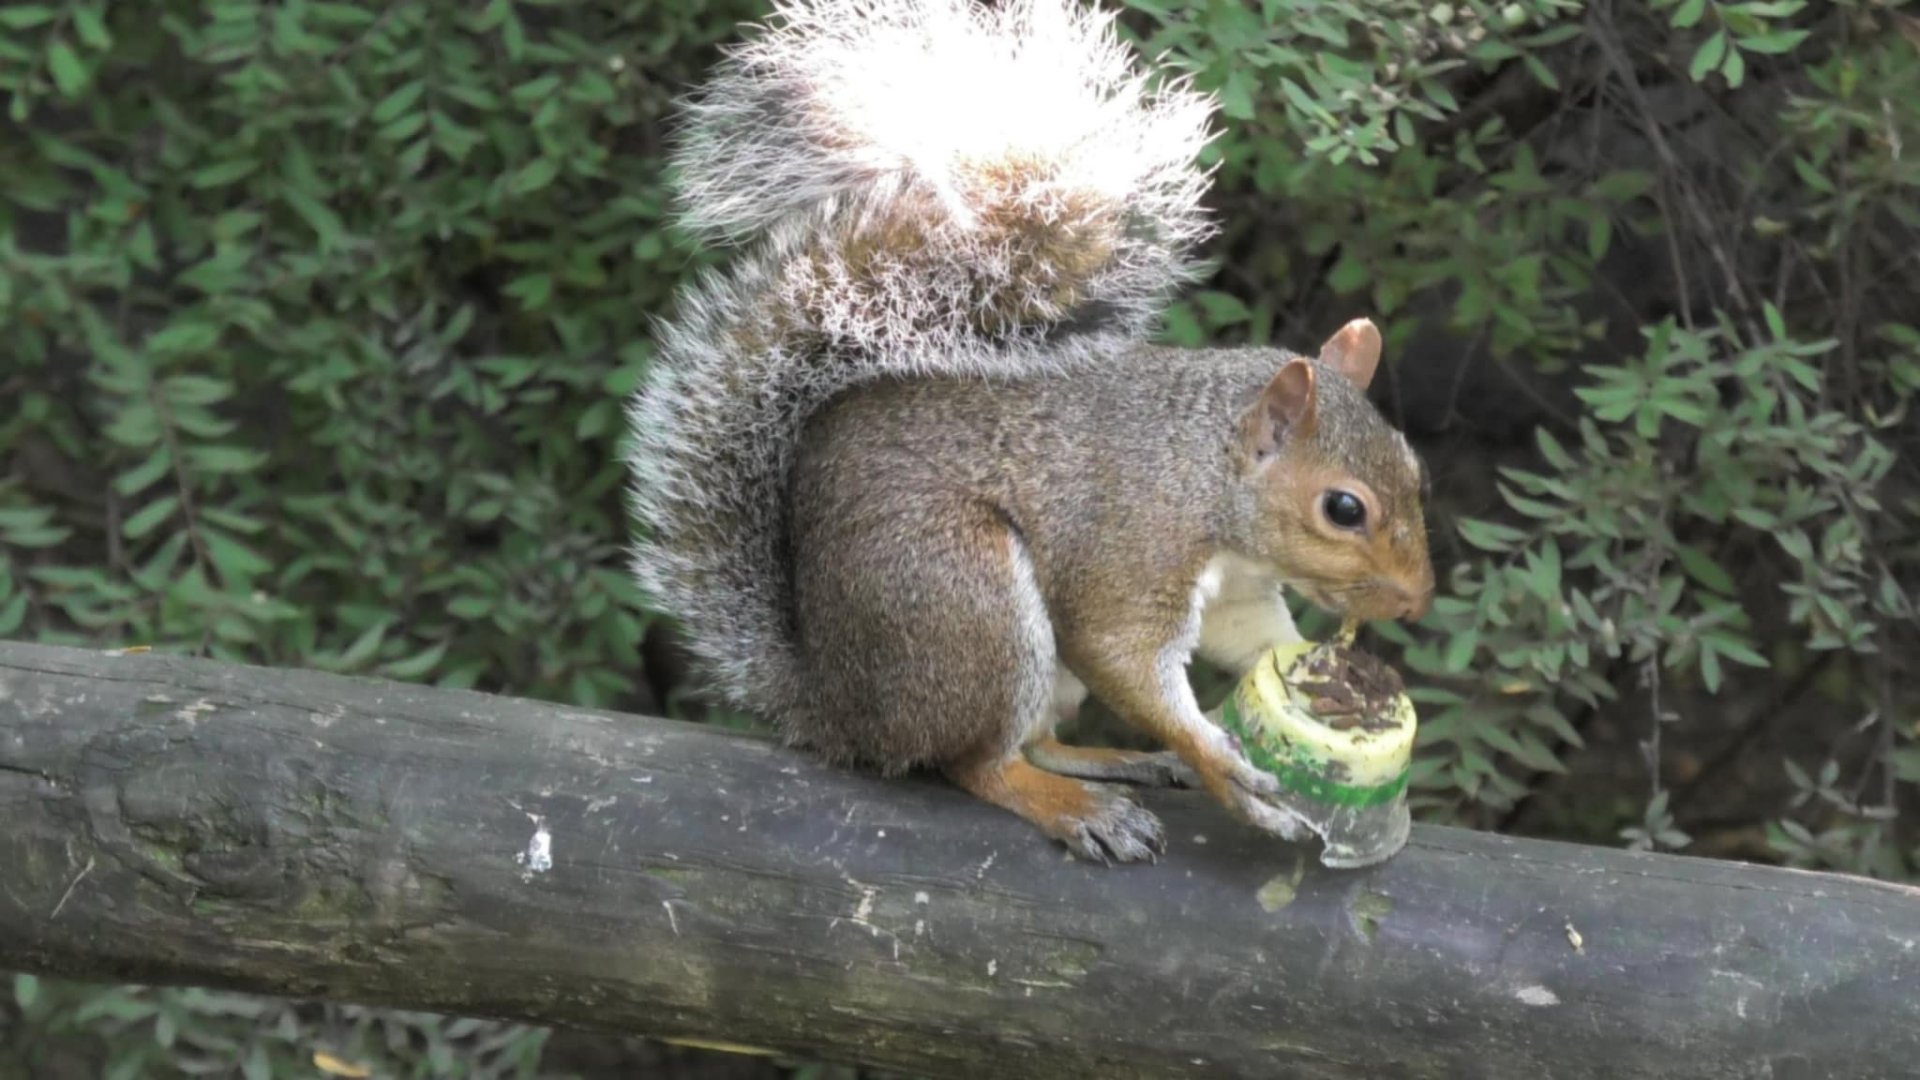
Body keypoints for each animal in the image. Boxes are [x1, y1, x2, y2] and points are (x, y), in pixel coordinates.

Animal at [626, 0, 1435, 863]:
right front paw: (1221, 767)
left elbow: (1250, 639)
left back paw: (1121, 763)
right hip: (964, 599)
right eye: (1343, 509)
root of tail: (842, 711)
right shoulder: (1132, 551)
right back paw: (1077, 808)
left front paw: (1330, 684)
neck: (1203, 474)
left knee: (1039, 741)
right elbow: (1122, 655)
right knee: (976, 763)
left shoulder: (1238, 593)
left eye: (1415, 469)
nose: (1416, 601)